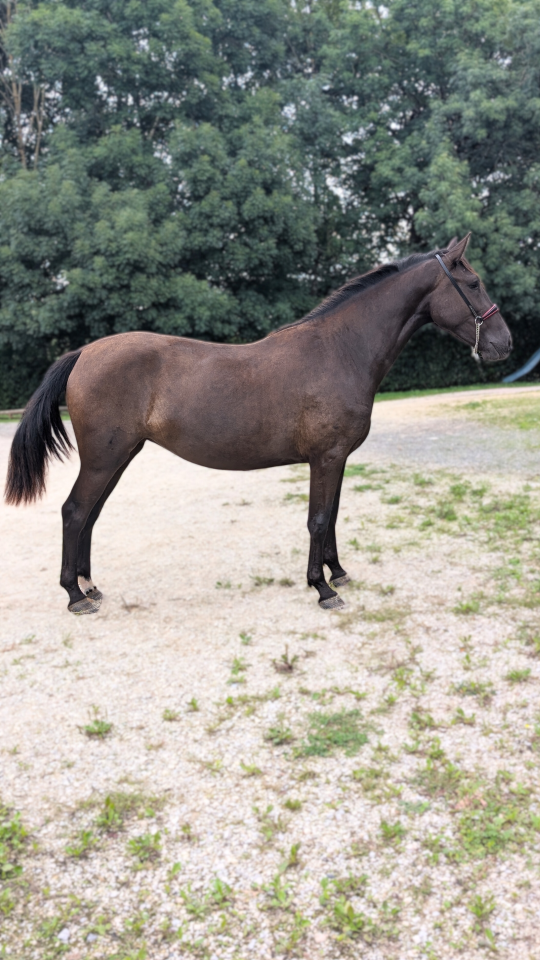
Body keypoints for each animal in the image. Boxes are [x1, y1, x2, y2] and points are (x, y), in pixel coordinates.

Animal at [4, 234, 512, 615]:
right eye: (473, 282)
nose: (504, 344)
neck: (341, 350)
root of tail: (84, 353)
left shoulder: (337, 459)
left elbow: (332, 517)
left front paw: (338, 572)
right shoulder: (325, 458)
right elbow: (318, 519)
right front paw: (322, 589)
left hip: (119, 456)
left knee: (90, 515)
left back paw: (90, 586)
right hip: (103, 458)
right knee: (74, 512)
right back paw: (74, 595)